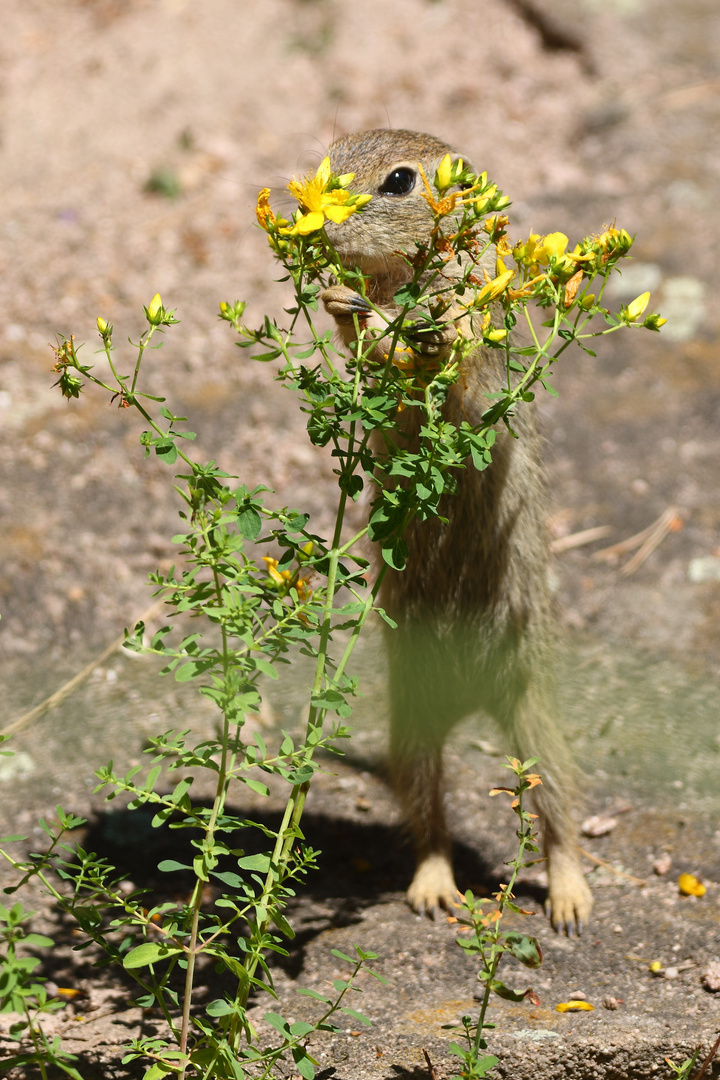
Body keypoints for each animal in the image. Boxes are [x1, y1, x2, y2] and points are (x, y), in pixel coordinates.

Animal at [319, 130, 591, 933]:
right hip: (411, 731)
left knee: (558, 812)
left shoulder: (473, 327)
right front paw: (341, 302)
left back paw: (571, 899)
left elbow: (448, 355)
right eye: (328, 155)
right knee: (429, 818)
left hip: (535, 716)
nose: (322, 224)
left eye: (399, 182)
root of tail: (467, 699)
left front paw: (391, 322)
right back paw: (433, 886)